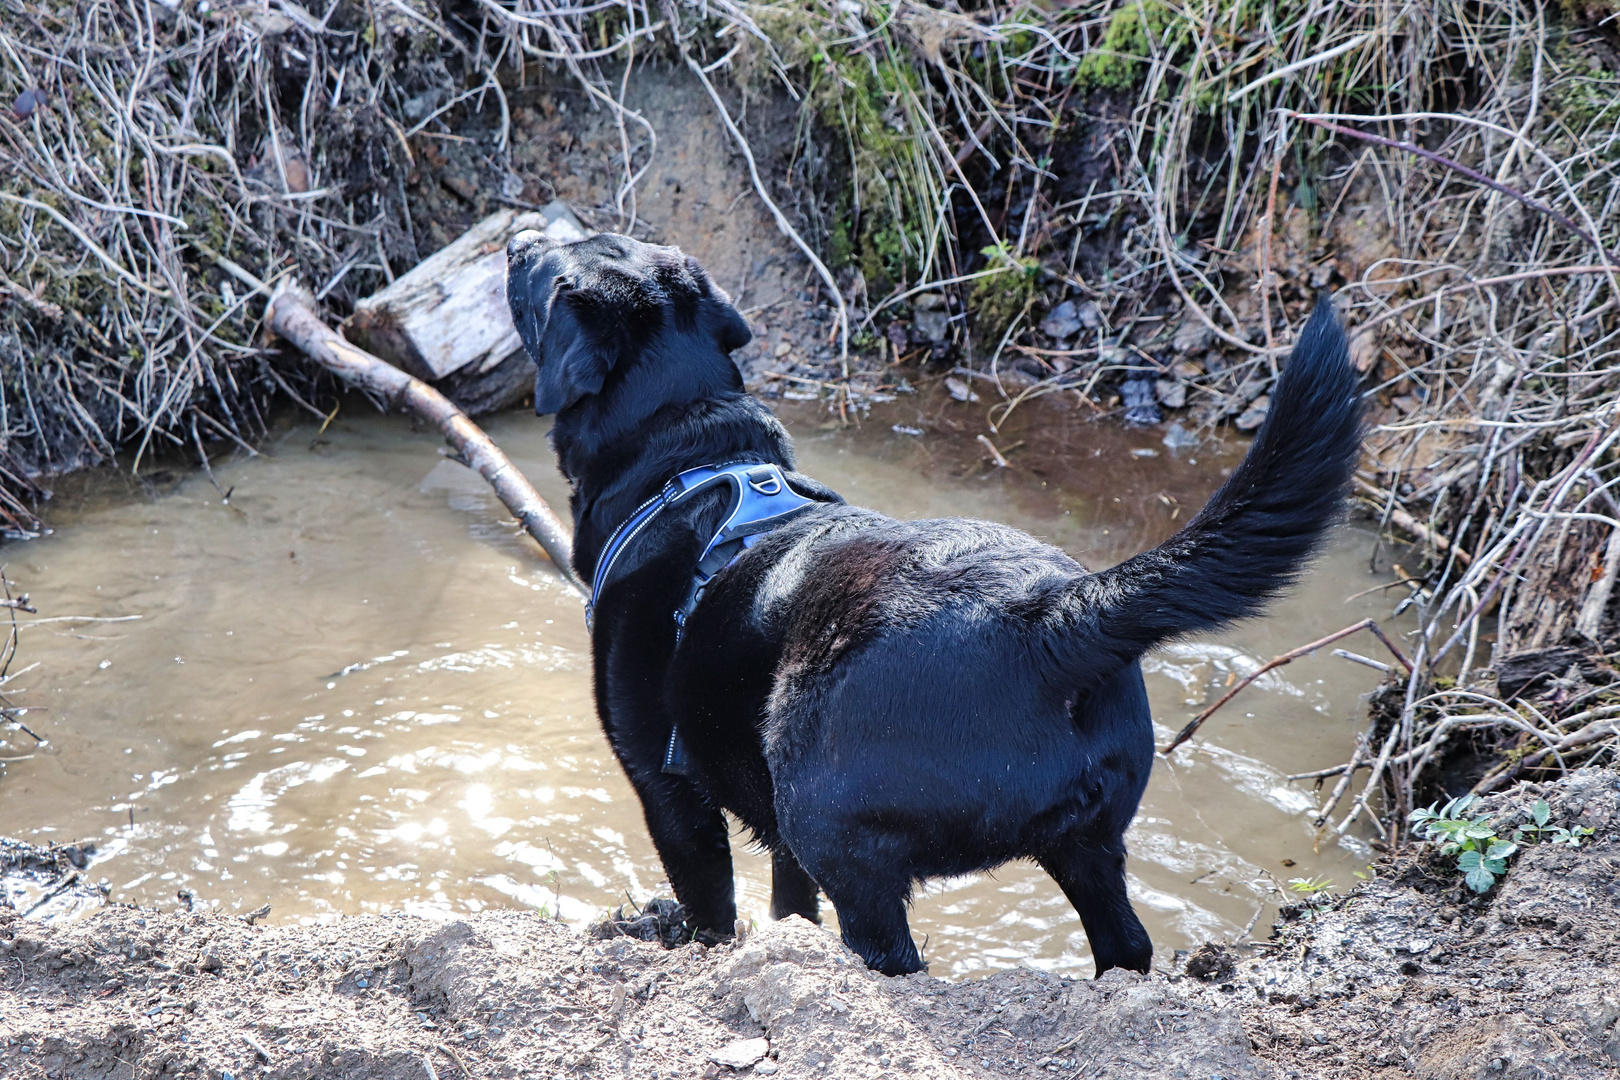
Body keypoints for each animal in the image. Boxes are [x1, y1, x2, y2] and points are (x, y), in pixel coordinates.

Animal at [508, 229, 1367, 977]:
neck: (687, 461)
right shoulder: (775, 834)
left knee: (892, 952)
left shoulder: (666, 786)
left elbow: (710, 906)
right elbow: (790, 905)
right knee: (1127, 945)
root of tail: (1051, 615)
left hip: (831, 815)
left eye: (551, 269)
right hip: (1087, 844)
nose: (516, 237)